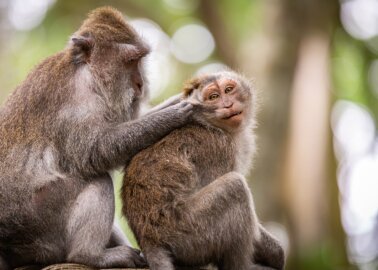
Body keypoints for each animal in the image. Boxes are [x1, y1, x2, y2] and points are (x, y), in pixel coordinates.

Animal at [0, 6, 204, 270]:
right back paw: (88, 255)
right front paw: (174, 115)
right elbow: (96, 151)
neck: (86, 71)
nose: (140, 84)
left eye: (139, 60)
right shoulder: (77, 102)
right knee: (97, 179)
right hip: (39, 223)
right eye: (130, 60)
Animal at [122, 70, 284, 268]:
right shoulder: (220, 149)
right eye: (213, 97)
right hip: (188, 232)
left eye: (228, 90)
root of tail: (149, 240)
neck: (213, 125)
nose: (228, 104)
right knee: (235, 187)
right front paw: (275, 252)